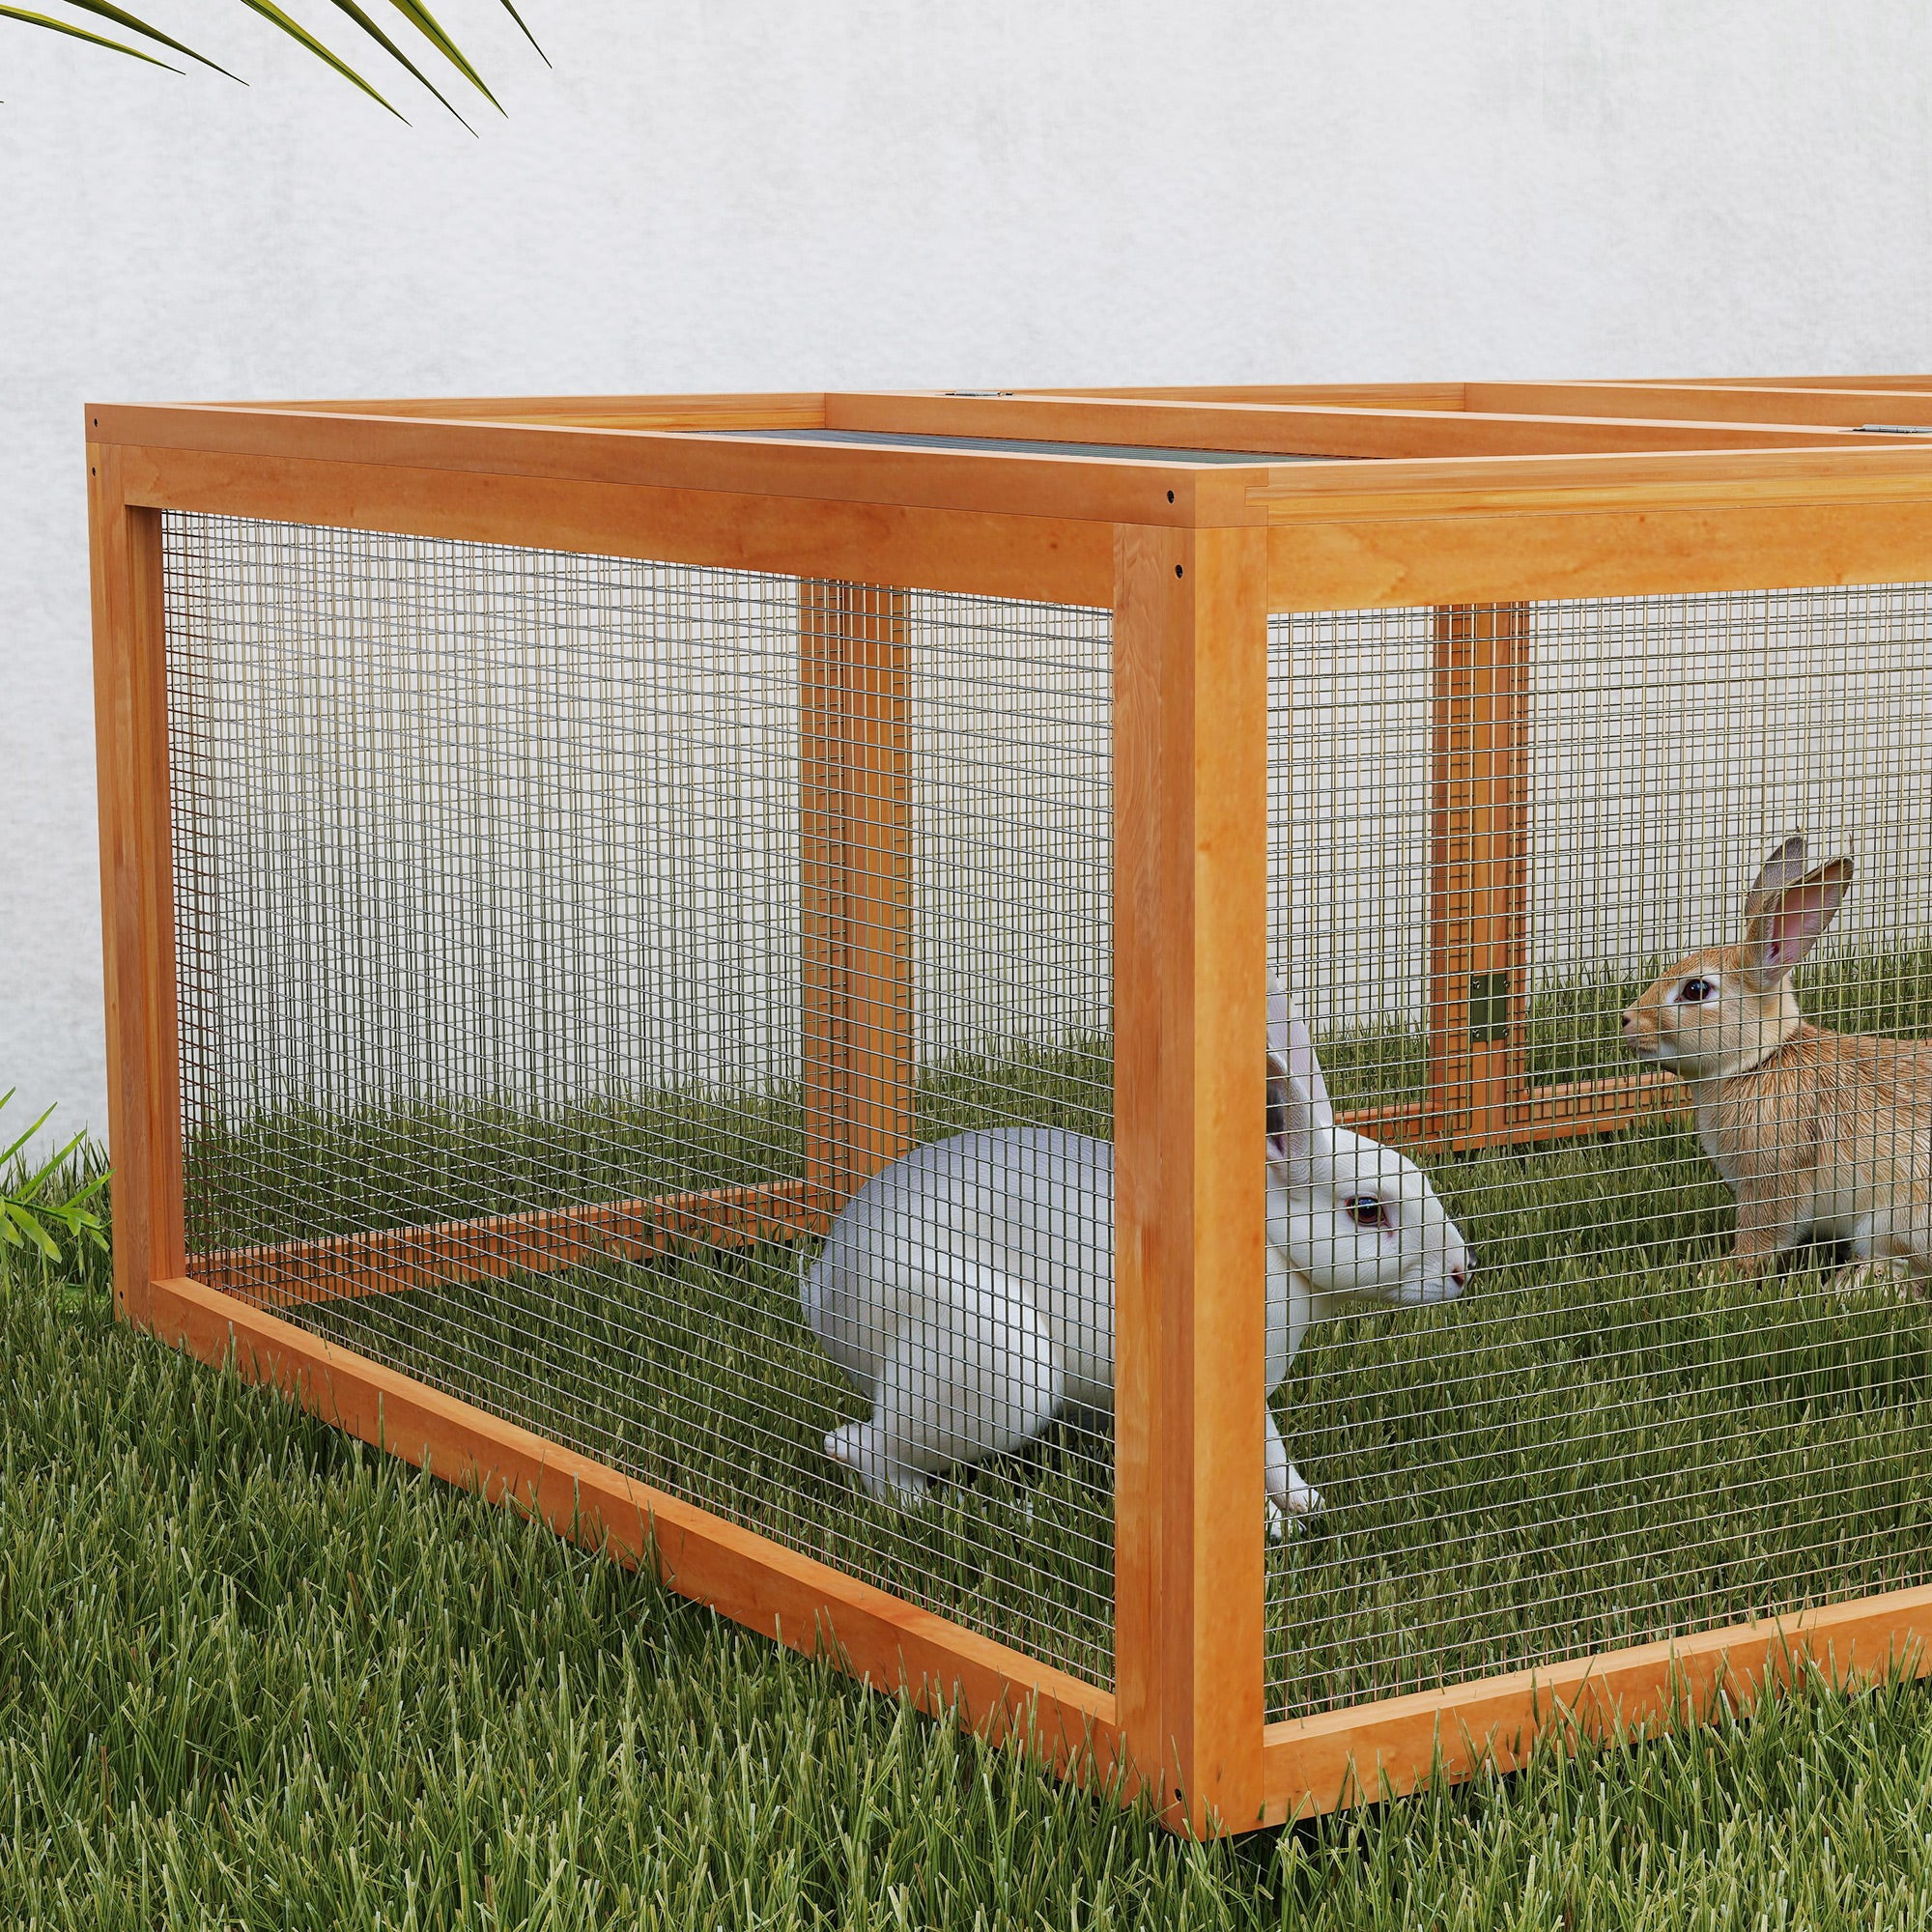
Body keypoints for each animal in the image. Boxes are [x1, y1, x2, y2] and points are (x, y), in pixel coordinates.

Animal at [801, 979, 1473, 1536]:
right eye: (1367, 1210)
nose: (1464, 1272)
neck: (1274, 1249)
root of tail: (824, 1291)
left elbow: (1271, 1451)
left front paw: (1301, 1505)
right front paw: (1268, 1529)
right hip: (1000, 1366)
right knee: (861, 1449)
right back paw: (953, 1507)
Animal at [1621, 834, 1932, 1292]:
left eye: (1696, 990)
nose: (1627, 1020)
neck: (1758, 1062)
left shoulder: (1772, 1178)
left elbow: (1763, 1237)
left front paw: (1719, 1275)